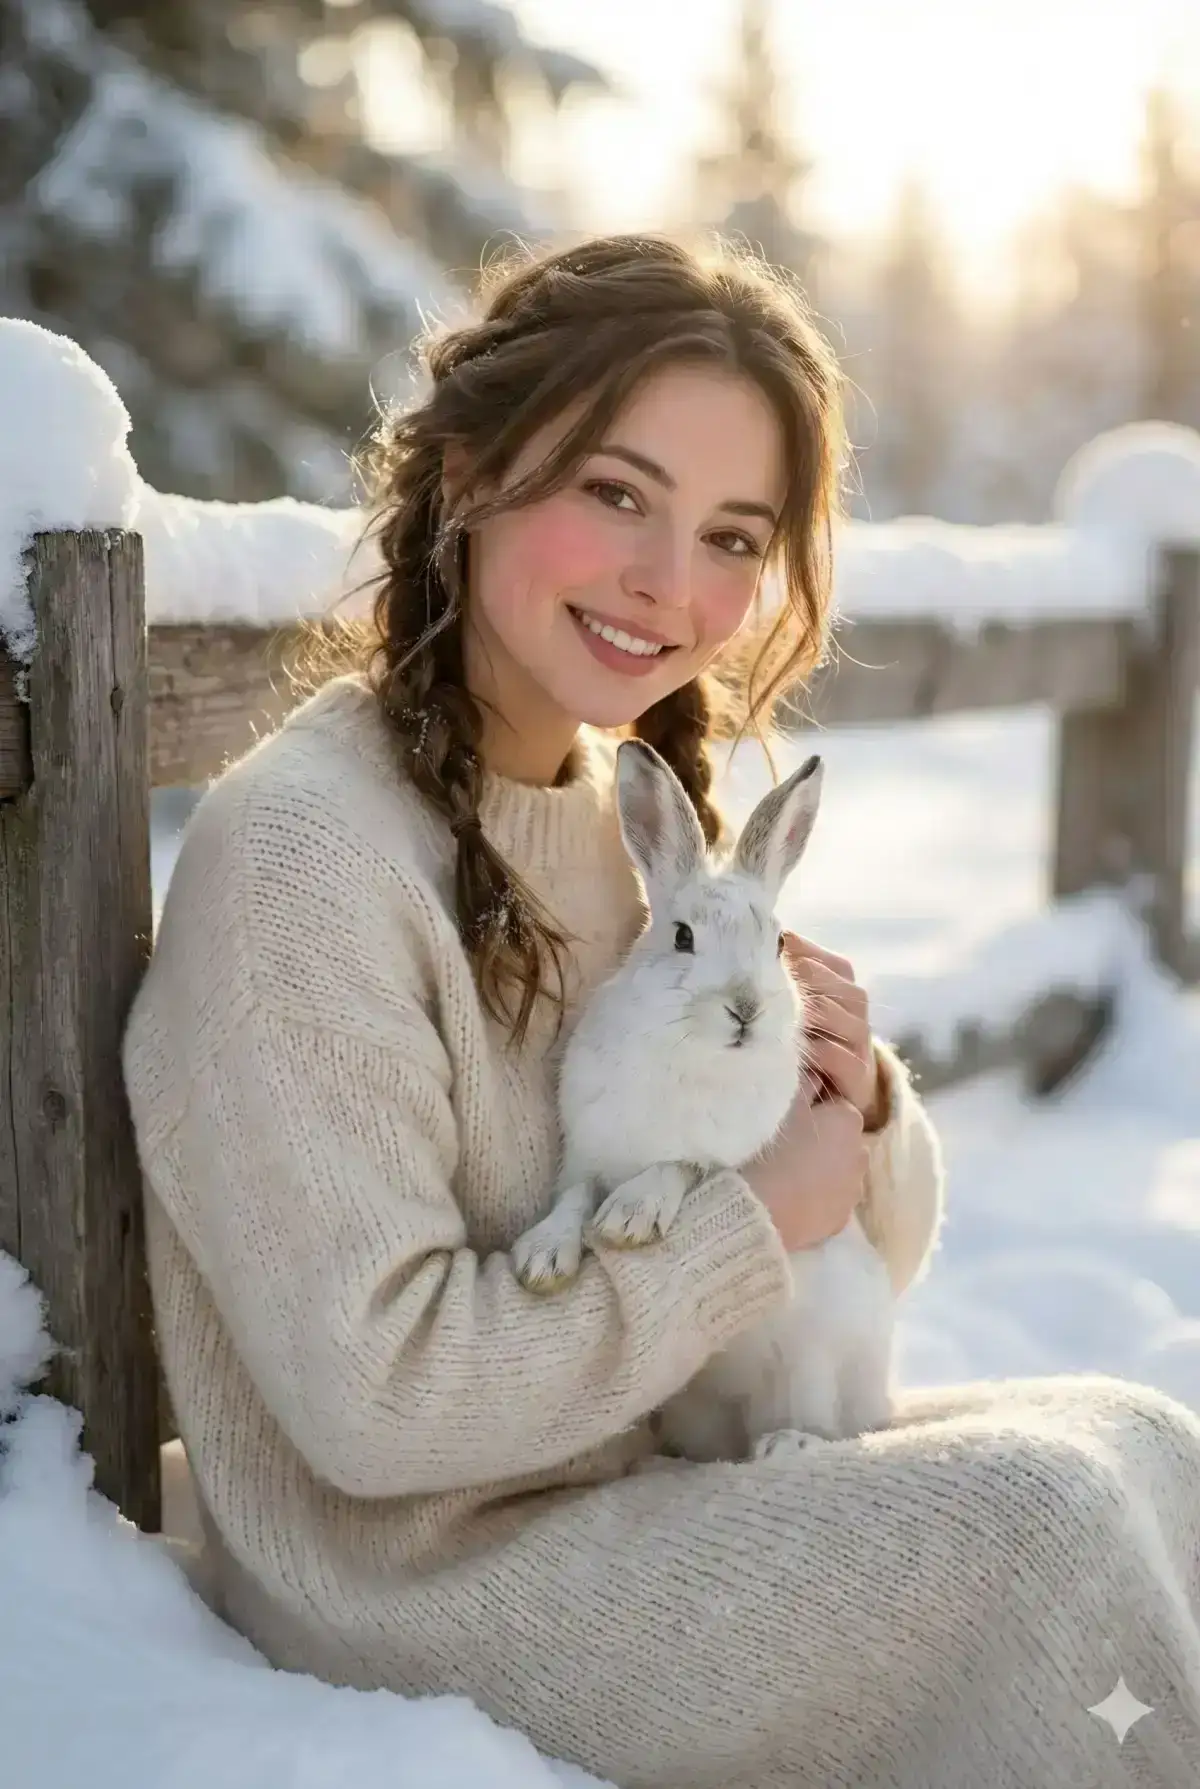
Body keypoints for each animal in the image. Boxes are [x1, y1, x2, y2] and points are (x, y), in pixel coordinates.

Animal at [511, 737, 896, 1463]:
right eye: (682, 936)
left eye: (779, 942)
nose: (744, 1009)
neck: (691, 1054)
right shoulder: (588, 1151)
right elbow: (573, 1196)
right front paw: (542, 1257)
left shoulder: (727, 1153)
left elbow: (682, 1164)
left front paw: (629, 1217)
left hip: (819, 1353)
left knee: (825, 1418)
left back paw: (787, 1444)